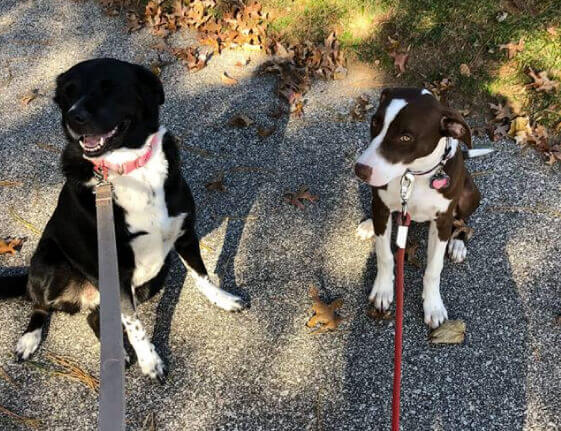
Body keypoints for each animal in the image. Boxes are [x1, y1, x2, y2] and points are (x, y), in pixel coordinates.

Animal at [0, 58, 245, 382]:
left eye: (110, 87)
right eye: (68, 92)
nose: (73, 117)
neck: (127, 168)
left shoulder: (184, 233)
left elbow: (201, 275)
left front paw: (222, 298)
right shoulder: (116, 270)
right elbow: (135, 324)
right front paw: (150, 361)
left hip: (153, 278)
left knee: (94, 317)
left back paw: (118, 353)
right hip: (49, 264)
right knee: (39, 304)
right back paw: (30, 338)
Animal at [354, 88, 482, 330]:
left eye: (406, 137)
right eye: (375, 122)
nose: (360, 170)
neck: (413, 174)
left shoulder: (442, 221)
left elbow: (433, 268)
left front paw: (433, 305)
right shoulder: (382, 205)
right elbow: (384, 254)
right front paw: (383, 289)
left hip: (469, 195)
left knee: (463, 221)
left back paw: (458, 243)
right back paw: (368, 225)